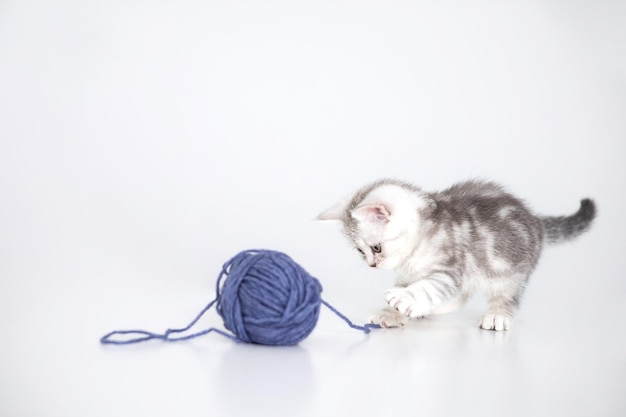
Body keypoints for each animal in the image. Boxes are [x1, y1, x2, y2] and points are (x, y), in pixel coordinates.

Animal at [316, 179, 596, 332]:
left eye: (376, 248)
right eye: (360, 251)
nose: (372, 264)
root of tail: (536, 221)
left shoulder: (450, 269)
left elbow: (428, 287)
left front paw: (404, 299)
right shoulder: (409, 275)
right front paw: (391, 312)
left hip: (512, 271)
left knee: (508, 296)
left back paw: (498, 314)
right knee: (463, 296)